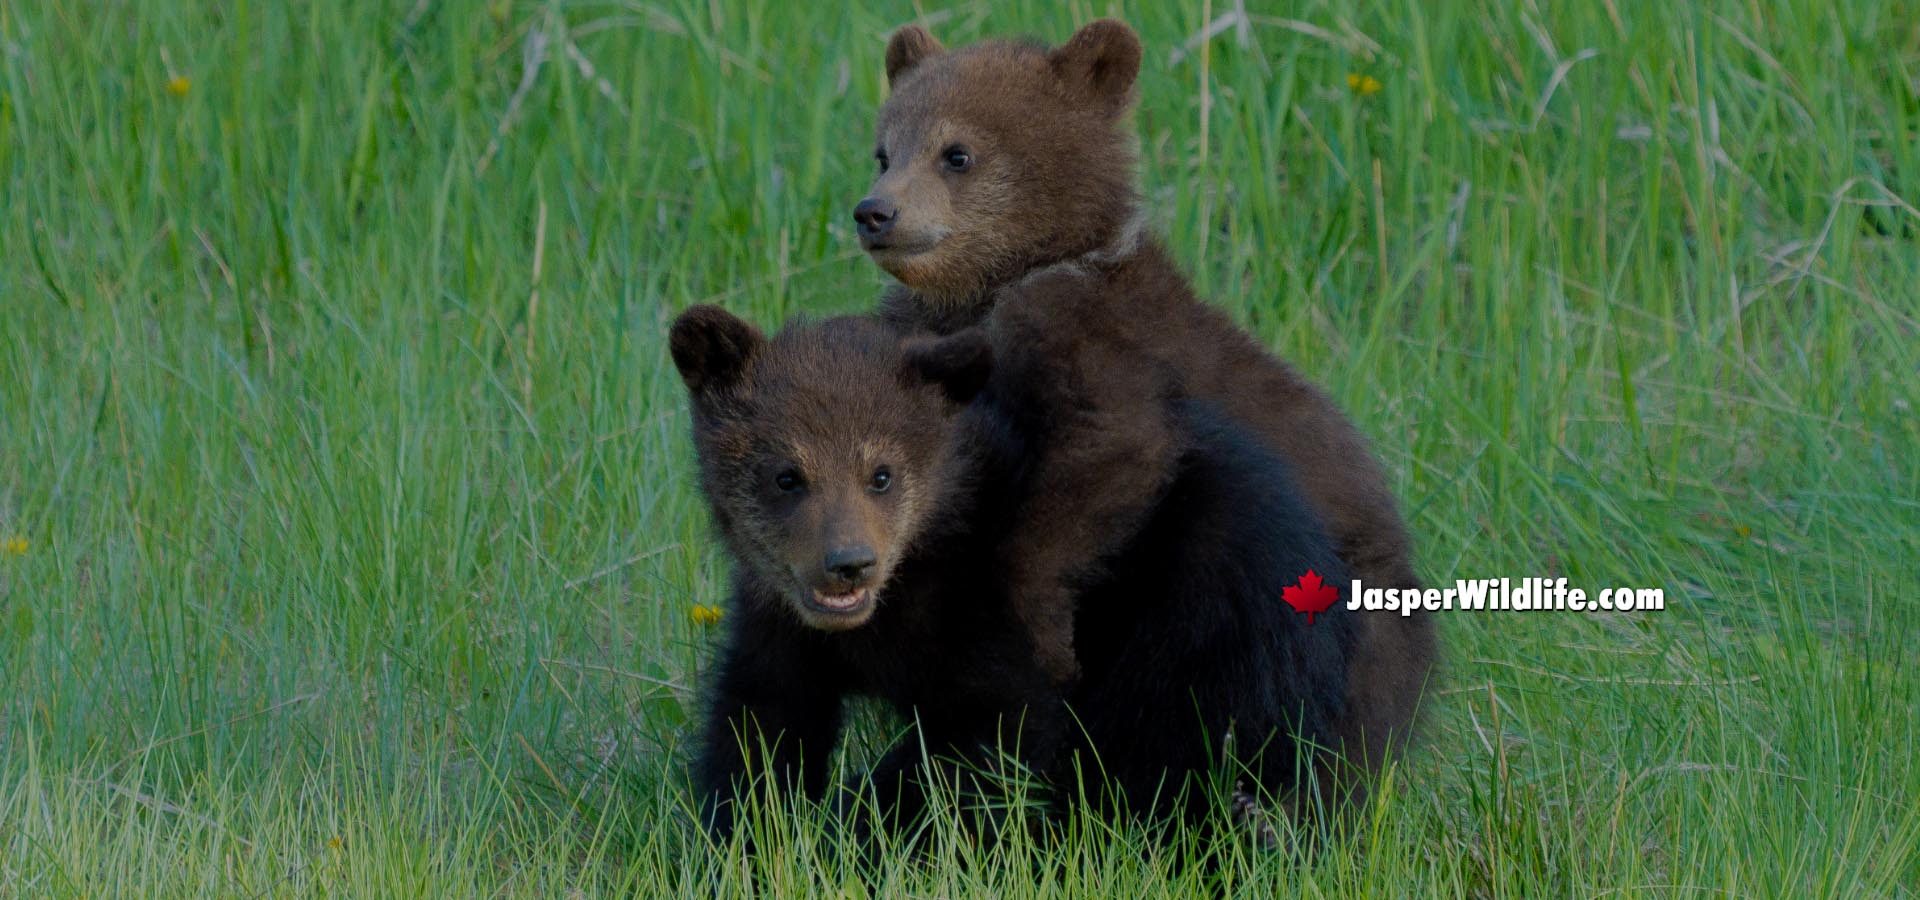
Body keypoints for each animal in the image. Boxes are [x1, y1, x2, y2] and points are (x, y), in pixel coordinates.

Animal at [669, 302, 1358, 846]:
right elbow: (762, 721)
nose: (848, 565)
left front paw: (854, 828)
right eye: (787, 475)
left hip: (1213, 601)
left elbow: (989, 735)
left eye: (881, 473)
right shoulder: (780, 624)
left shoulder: (1001, 602)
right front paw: (744, 834)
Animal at [855, 18, 1436, 781]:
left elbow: (1111, 453)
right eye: (883, 150)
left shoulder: (1091, 338)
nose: (875, 212)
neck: (1004, 283)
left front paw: (1046, 638)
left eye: (957, 152)